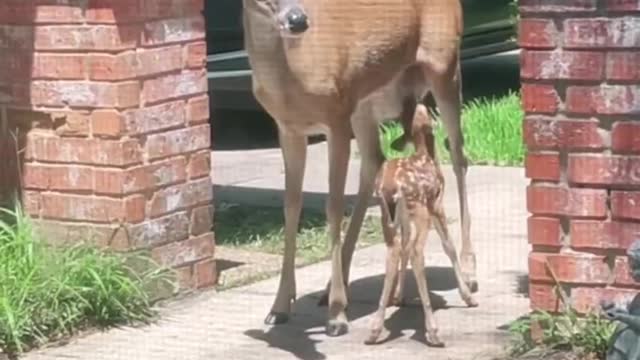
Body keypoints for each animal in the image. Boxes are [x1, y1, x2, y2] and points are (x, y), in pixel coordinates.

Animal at [242, 0, 472, 338]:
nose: (298, 20)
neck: (291, 78)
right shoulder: (289, 128)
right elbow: (291, 207)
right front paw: (279, 307)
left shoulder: (336, 117)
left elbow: (333, 207)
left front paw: (337, 316)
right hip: (366, 102)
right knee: (374, 161)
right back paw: (335, 287)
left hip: (443, 64)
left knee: (458, 155)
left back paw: (470, 271)